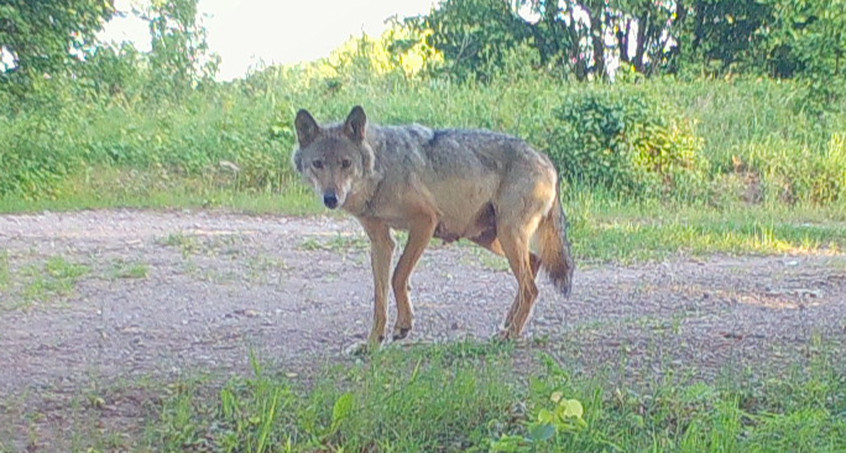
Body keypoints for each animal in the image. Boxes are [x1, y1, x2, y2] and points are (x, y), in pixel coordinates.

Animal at [292, 107, 576, 346]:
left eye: (346, 163)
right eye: (318, 164)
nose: (331, 198)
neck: (382, 170)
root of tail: (548, 161)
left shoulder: (424, 223)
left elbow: (398, 277)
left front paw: (403, 325)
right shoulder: (382, 242)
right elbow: (379, 298)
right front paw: (372, 343)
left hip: (505, 236)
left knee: (531, 287)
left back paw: (510, 334)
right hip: (489, 237)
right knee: (535, 261)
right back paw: (508, 322)